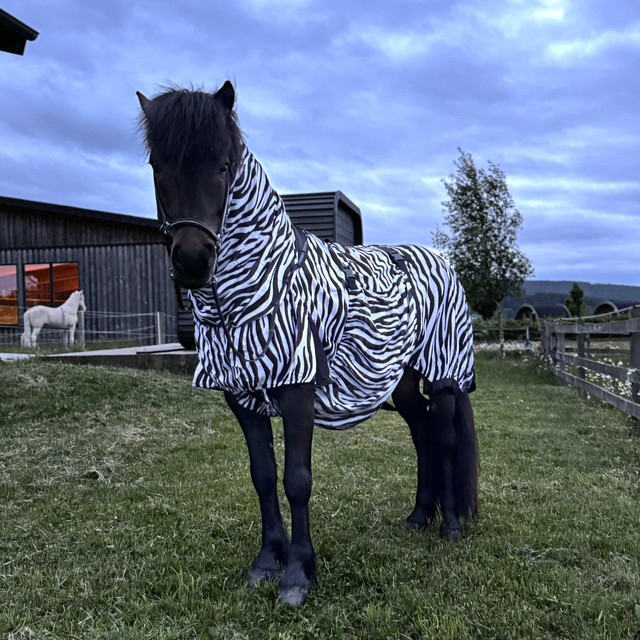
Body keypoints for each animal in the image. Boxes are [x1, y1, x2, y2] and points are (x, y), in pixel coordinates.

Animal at [137, 82, 479, 607]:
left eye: (223, 166)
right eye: (157, 165)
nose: (193, 261)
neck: (262, 286)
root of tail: (439, 260)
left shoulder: (297, 387)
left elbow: (296, 480)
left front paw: (298, 574)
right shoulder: (240, 394)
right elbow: (262, 476)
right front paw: (266, 562)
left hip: (444, 374)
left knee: (441, 438)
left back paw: (451, 527)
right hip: (397, 379)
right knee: (420, 433)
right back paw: (419, 517)